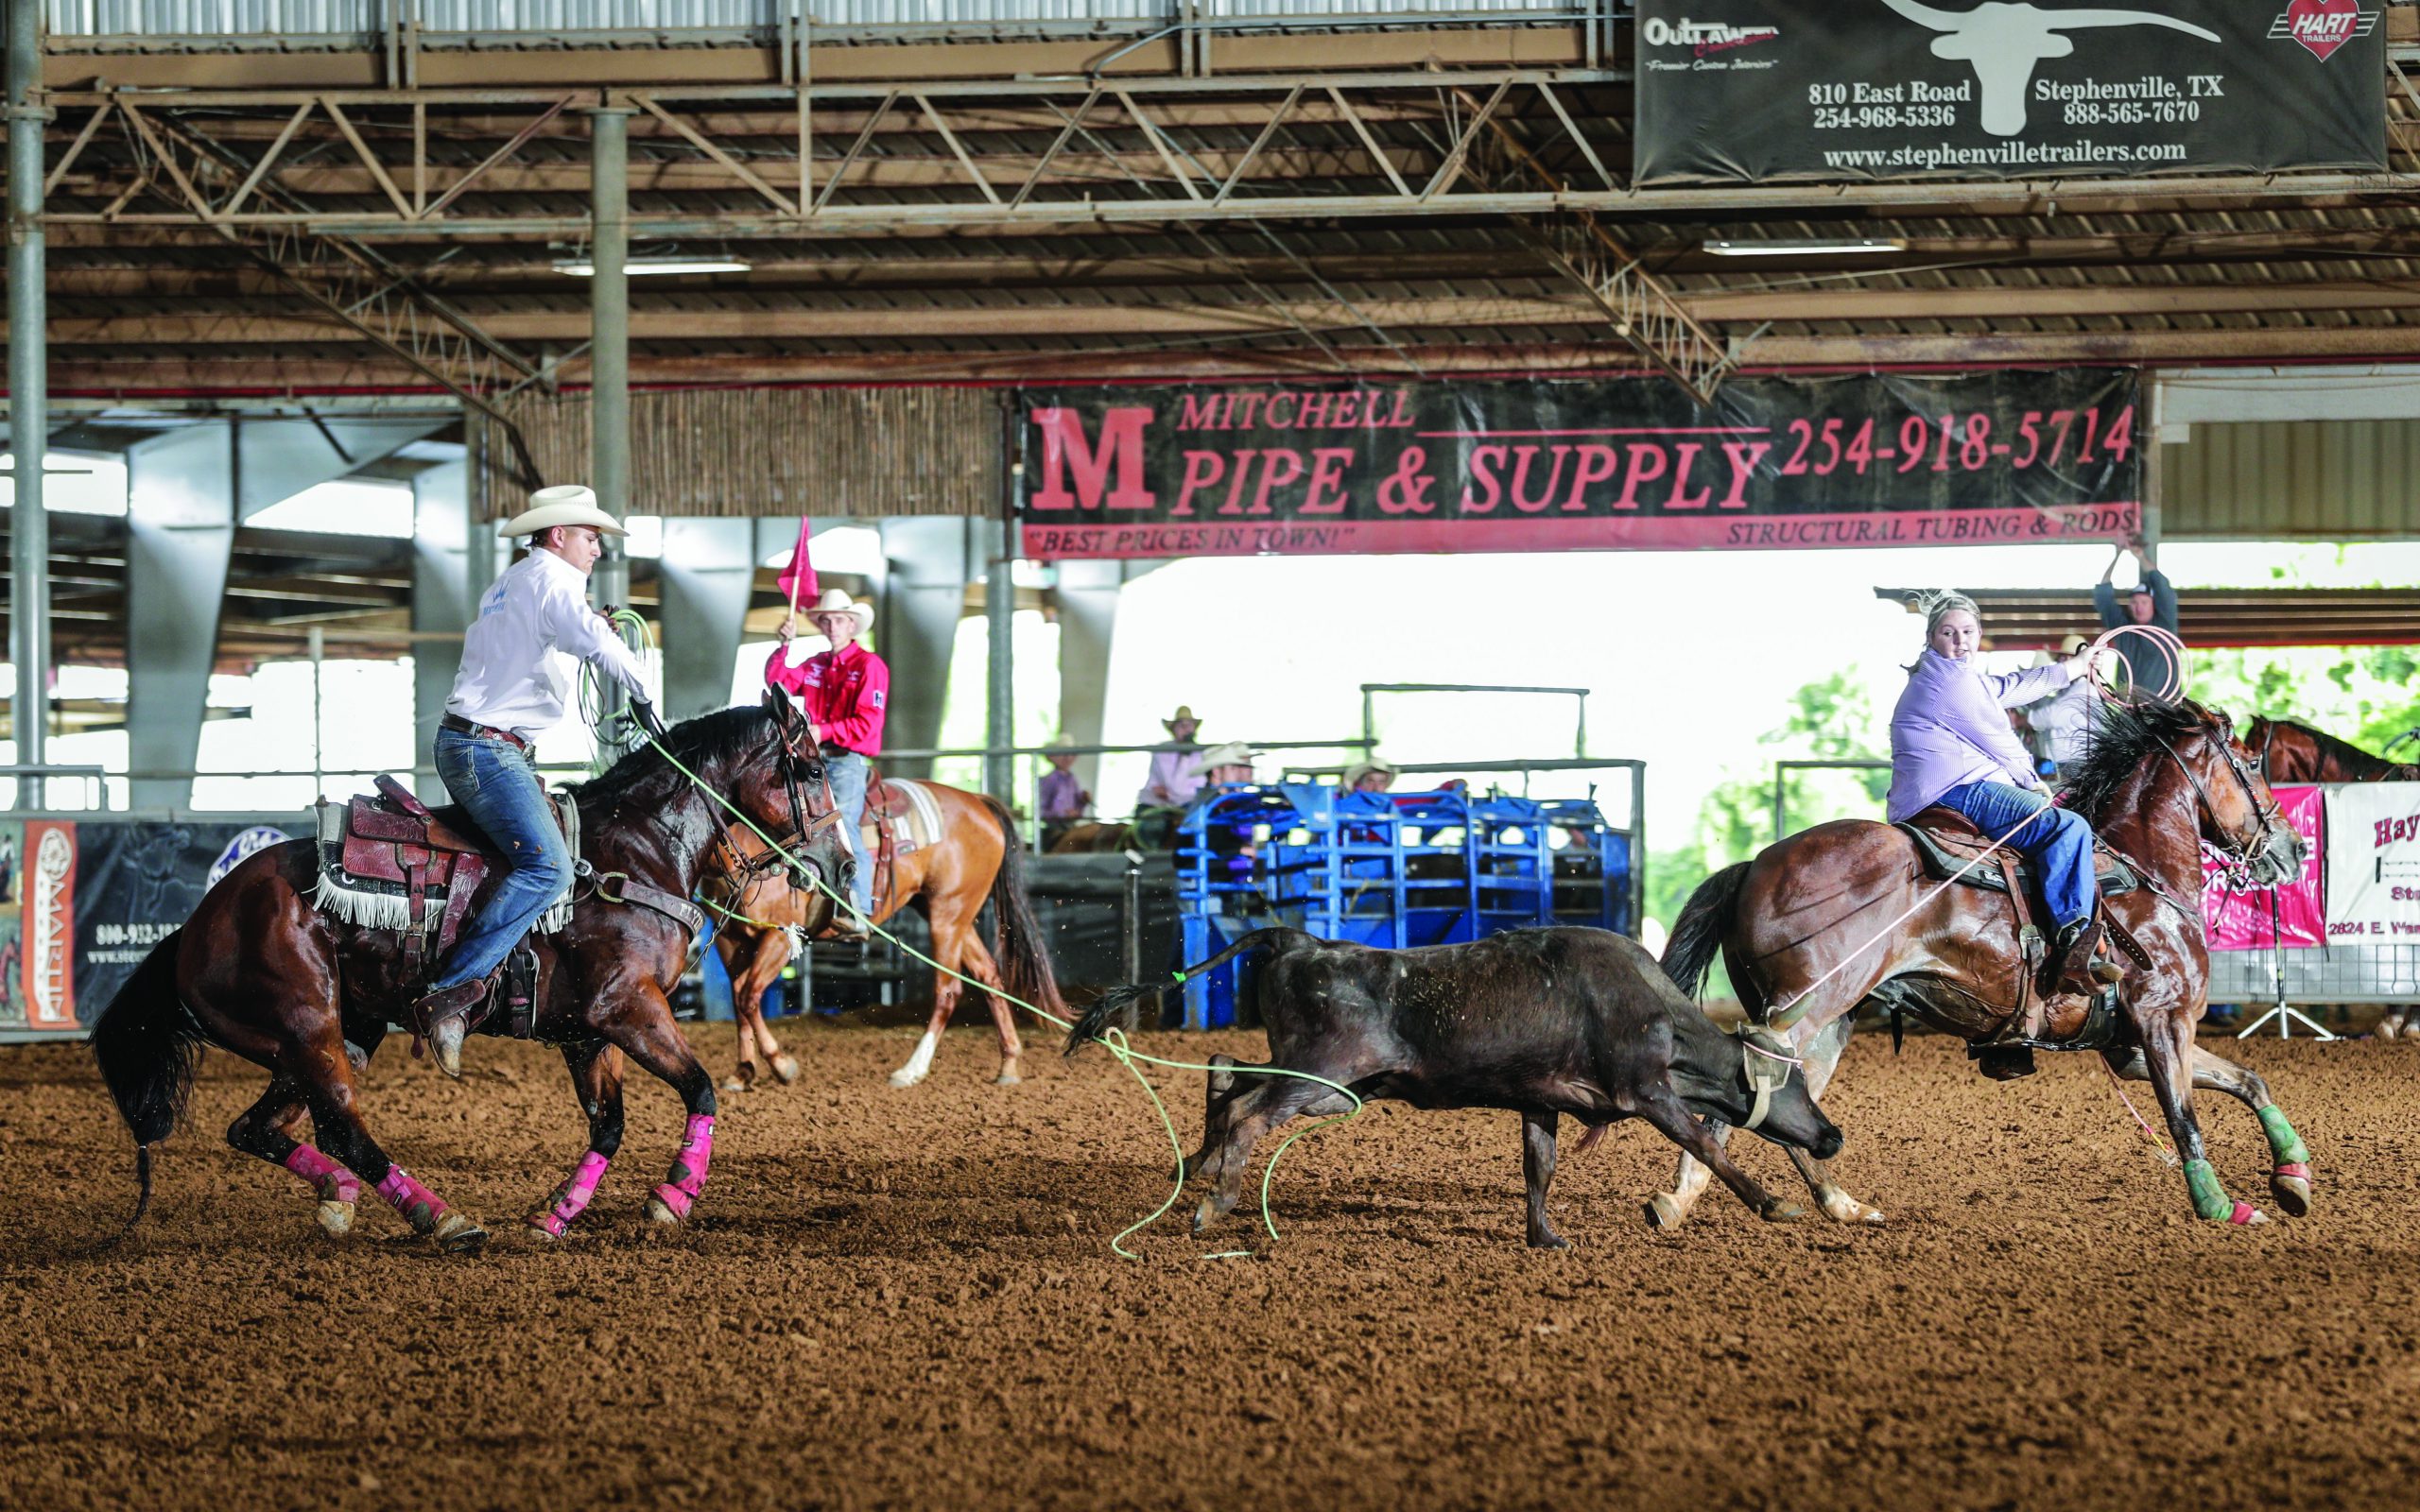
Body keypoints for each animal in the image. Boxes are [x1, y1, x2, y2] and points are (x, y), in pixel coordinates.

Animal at [87, 696, 852, 1247]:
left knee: (257, 1130)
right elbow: (700, 1089)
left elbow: (608, 1124)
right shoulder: (627, 1009)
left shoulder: (586, 1033)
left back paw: (339, 1199)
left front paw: (555, 1216)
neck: (636, 851)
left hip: (319, 1042)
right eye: (813, 770)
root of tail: (196, 924)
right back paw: (442, 1218)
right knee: (342, 1127)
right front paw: (673, 1197)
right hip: (308, 1031)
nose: (843, 868)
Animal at [706, 779, 1069, 1083]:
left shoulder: (781, 936)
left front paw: (781, 1065)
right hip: (952, 914)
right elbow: (738, 998)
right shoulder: (729, 938)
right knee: (988, 975)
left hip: (947, 915)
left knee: (948, 990)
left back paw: (912, 1069)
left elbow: (748, 996)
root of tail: (977, 801)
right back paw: (1008, 1063)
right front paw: (742, 1071)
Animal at [1665, 701, 2304, 1233]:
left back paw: (1825, 1203)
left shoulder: (2129, 1046)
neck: (2143, 875)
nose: (2293, 848)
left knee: (1786, 1104)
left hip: (1828, 1025)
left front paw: (2292, 1178)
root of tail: (1752, 867)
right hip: (1804, 1010)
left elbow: (2250, 1080)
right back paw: (1695, 1195)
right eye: (2251, 762)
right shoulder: (2163, 1022)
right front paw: (2219, 1205)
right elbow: (2183, 1116)